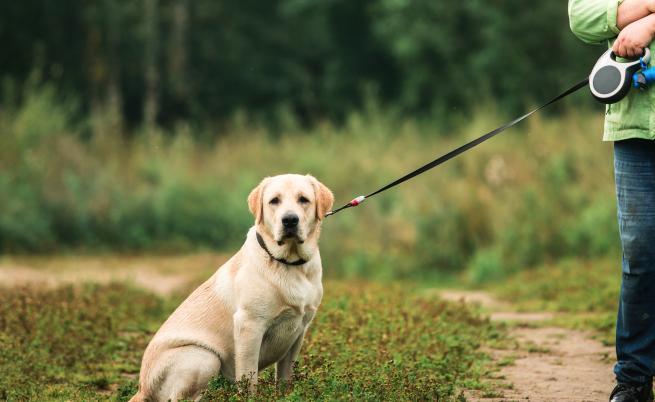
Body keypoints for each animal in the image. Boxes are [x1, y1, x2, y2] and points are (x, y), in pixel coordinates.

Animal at [129, 174, 334, 400]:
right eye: (274, 201)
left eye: (303, 199)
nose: (289, 220)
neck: (289, 264)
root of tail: (142, 388)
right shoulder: (249, 326)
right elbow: (249, 378)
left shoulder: (299, 330)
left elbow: (285, 378)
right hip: (204, 357)